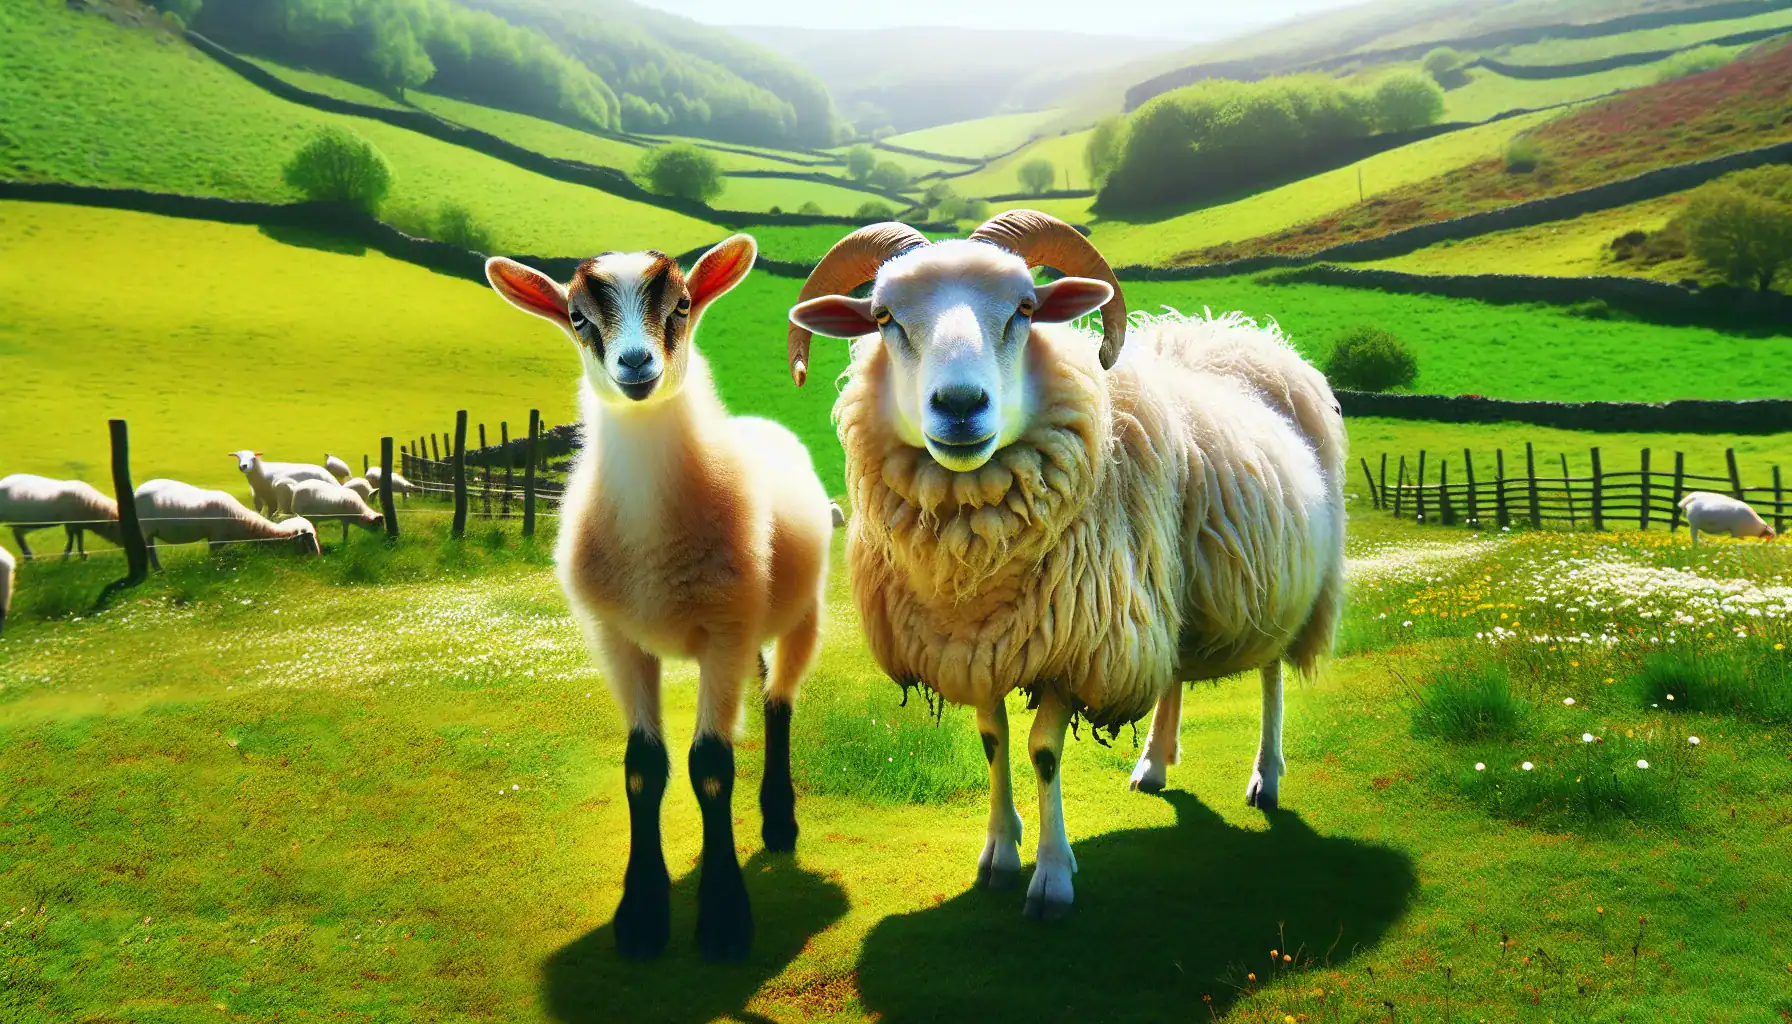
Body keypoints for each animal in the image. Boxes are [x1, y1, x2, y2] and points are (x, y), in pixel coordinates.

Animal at [135, 479, 321, 568]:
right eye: (308, 540)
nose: (318, 558)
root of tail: (138, 490)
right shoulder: (216, 538)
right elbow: (213, 557)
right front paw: (214, 567)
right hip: (146, 529)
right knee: (149, 550)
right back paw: (159, 570)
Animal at [485, 235, 831, 964]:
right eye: (578, 317)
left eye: (682, 304)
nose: (636, 364)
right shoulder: (617, 638)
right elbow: (644, 768)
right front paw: (641, 914)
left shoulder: (725, 634)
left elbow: (711, 767)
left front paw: (724, 920)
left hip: (800, 615)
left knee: (780, 702)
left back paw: (780, 819)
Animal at [787, 211, 1346, 920]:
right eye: (884, 317)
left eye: (1026, 310)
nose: (961, 405)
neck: (977, 560)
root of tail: (1232, 334)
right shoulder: (978, 644)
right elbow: (994, 742)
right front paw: (999, 854)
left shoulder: (1075, 647)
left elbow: (1044, 752)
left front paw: (1052, 877)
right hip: (1160, 586)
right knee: (1173, 667)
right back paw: (1154, 763)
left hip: (1286, 581)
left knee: (1272, 674)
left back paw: (1266, 777)